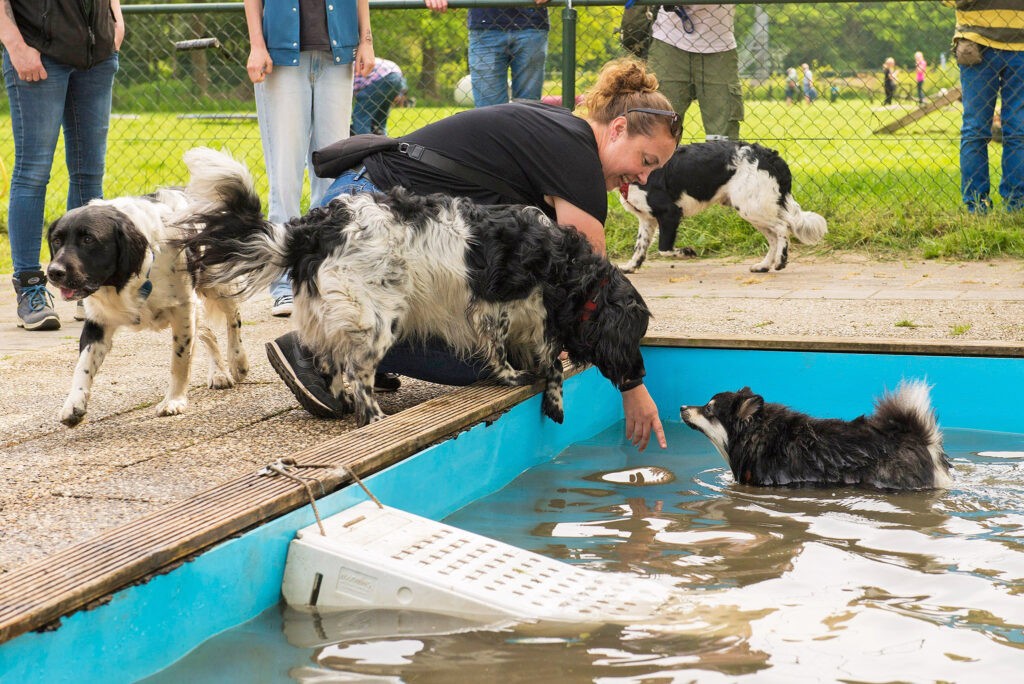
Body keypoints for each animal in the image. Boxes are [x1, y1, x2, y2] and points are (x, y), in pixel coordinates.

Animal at [48, 148, 253, 428]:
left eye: (88, 239)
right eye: (56, 241)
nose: (53, 272)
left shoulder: (182, 309)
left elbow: (180, 360)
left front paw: (174, 401)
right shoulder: (98, 320)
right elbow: (83, 366)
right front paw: (73, 405)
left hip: (218, 283)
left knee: (234, 319)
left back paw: (237, 361)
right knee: (208, 332)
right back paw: (219, 373)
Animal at [180, 150, 651, 428]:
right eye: (634, 336)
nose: (642, 374)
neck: (563, 266)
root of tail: (312, 230)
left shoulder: (534, 319)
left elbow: (549, 360)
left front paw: (552, 397)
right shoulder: (493, 307)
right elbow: (506, 350)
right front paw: (512, 377)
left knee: (330, 358)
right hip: (378, 319)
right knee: (357, 373)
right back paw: (375, 420)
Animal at [610, 140, 827, 274]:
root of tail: (769, 155)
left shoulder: (669, 212)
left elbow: (664, 249)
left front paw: (686, 253)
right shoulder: (647, 219)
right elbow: (640, 247)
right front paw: (630, 267)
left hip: (751, 207)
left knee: (782, 228)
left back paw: (780, 261)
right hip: (753, 208)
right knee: (773, 237)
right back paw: (764, 265)